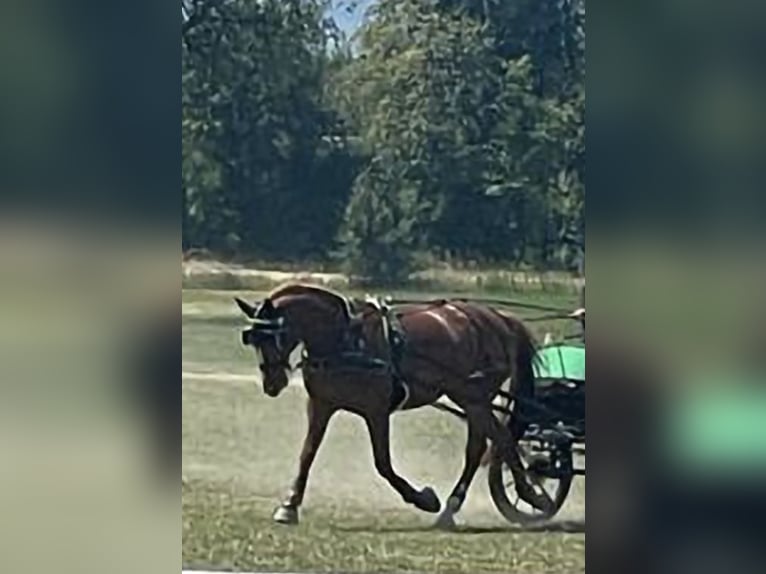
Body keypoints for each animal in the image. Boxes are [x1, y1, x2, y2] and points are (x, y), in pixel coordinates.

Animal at [235, 283, 554, 528]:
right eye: (252, 339)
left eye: (275, 335)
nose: (272, 383)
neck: (345, 339)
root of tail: (497, 318)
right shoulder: (321, 405)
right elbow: (307, 454)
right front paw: (289, 505)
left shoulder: (376, 411)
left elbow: (383, 464)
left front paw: (424, 498)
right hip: (470, 397)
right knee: (481, 445)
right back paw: (453, 508)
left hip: (473, 396)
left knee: (500, 438)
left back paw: (532, 495)